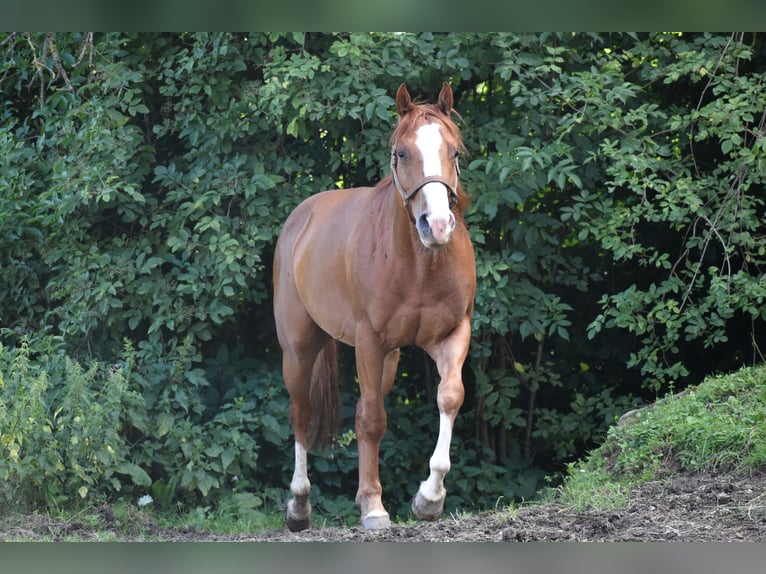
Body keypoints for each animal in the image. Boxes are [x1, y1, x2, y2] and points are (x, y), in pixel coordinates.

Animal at [272, 83, 476, 532]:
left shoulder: (451, 335)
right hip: (298, 349)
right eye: (401, 153)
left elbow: (450, 396)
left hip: (388, 358)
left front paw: (429, 498)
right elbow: (373, 420)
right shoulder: (369, 341)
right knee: (302, 413)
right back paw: (299, 505)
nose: (437, 225)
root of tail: (301, 218)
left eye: (454, 151)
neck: (420, 265)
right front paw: (377, 508)